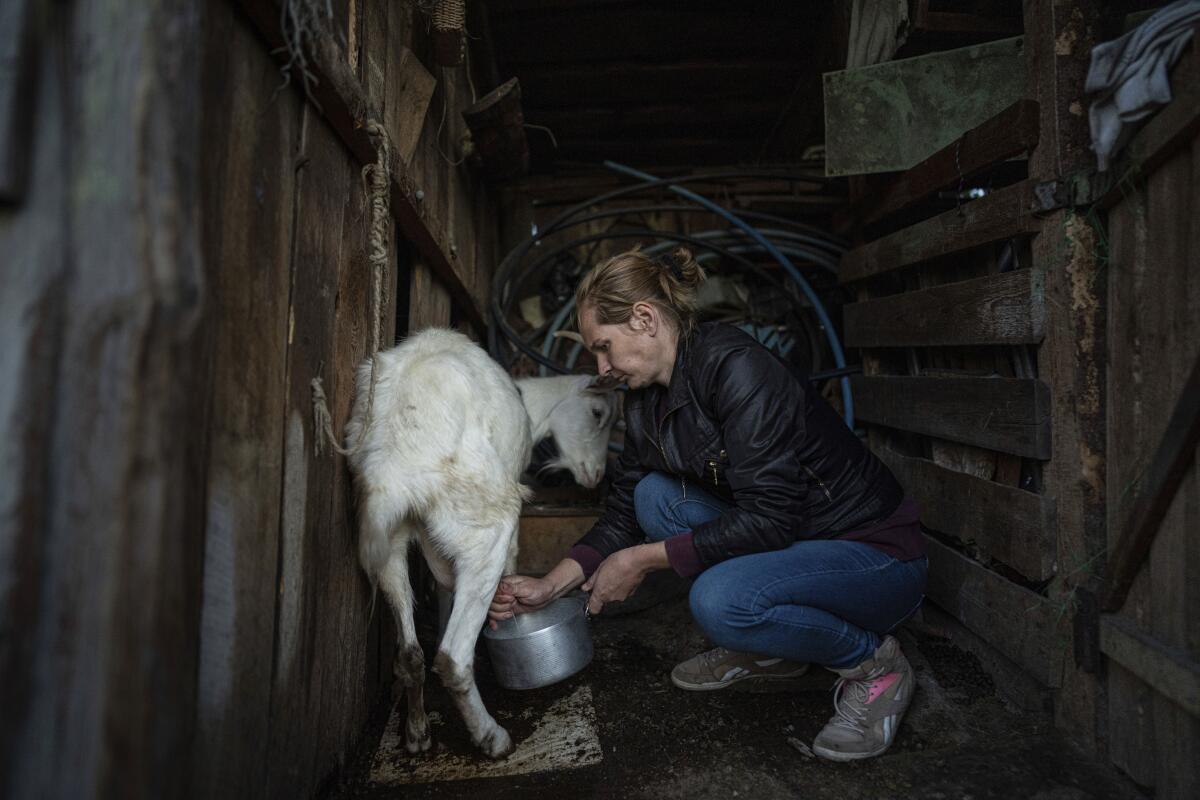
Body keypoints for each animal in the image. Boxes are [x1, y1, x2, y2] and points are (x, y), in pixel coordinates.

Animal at [343, 328, 614, 762]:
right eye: (598, 413)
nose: (597, 475)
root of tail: (391, 467)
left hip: (388, 542)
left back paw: (417, 733)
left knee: (410, 653)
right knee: (452, 657)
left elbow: (442, 590)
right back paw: (492, 737)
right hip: (484, 524)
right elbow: (511, 571)